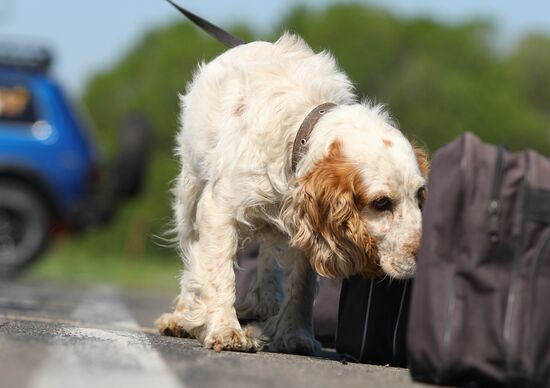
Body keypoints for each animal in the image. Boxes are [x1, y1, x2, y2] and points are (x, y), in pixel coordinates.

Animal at [156, 33, 432, 354]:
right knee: (190, 259)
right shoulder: (219, 211)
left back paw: (264, 302)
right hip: (189, 194)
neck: (298, 129)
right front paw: (225, 329)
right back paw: (179, 317)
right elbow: (219, 274)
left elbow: (301, 285)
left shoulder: (307, 226)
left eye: (419, 195)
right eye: (381, 203)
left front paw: (295, 335)